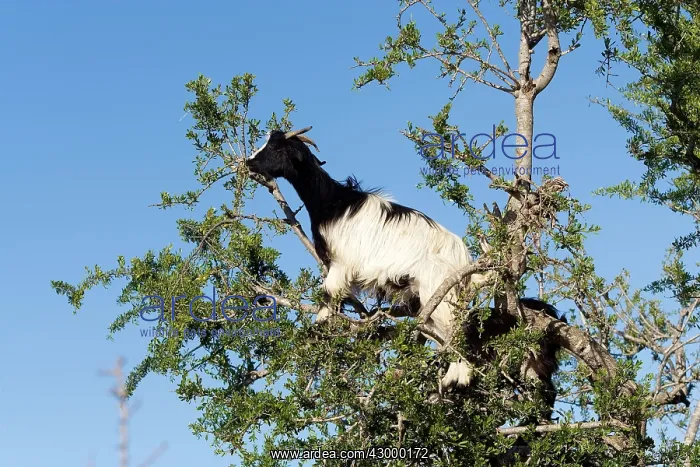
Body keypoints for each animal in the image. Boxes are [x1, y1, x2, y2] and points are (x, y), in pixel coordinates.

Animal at [245, 126, 486, 389]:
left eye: (277, 147)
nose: (250, 162)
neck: (332, 201)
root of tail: (463, 257)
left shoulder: (340, 265)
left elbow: (326, 300)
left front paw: (315, 335)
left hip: (440, 291)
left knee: (456, 331)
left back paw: (459, 379)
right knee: (442, 334)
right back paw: (451, 379)